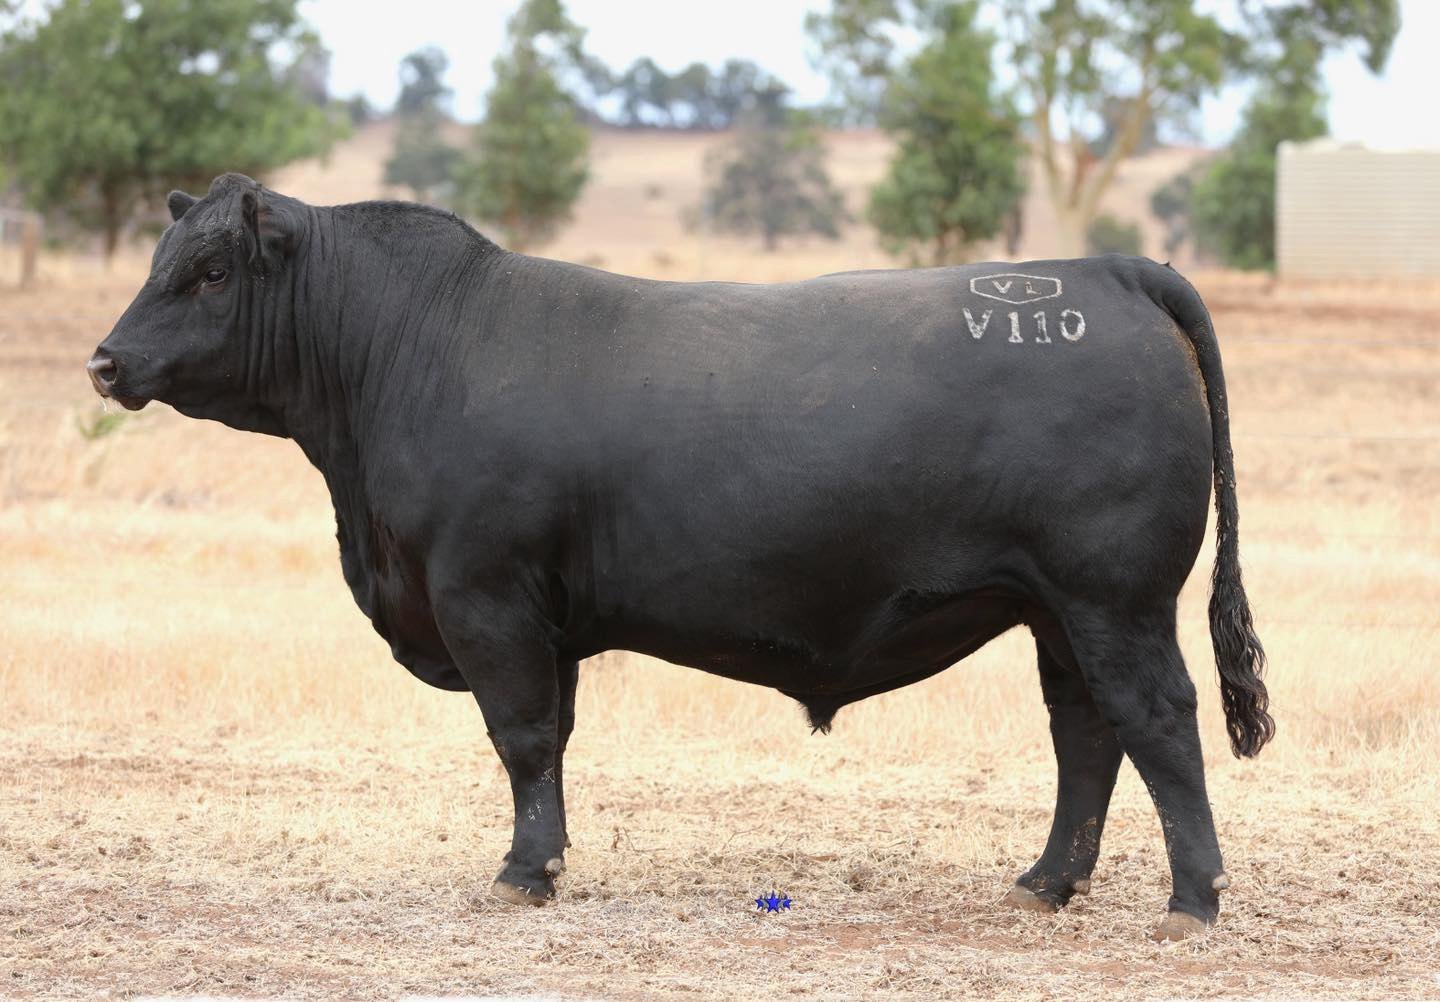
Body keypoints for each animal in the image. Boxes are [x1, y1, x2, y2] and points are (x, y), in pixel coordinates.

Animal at [88, 174, 1272, 942]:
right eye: (161, 263)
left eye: (207, 272)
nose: (104, 361)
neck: (411, 350)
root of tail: (1107, 271)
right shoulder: (543, 617)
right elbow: (551, 739)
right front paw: (544, 861)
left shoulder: (487, 596)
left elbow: (521, 737)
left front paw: (523, 873)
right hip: (1056, 612)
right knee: (1087, 736)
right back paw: (1045, 882)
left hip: (1114, 599)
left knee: (1158, 721)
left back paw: (1192, 899)